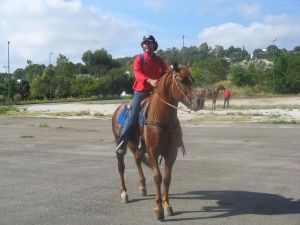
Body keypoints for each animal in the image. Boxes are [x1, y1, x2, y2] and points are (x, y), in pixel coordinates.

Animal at [111, 62, 205, 220]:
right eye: (182, 80)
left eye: (193, 79)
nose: (199, 101)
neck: (162, 119)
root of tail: (119, 108)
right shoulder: (152, 152)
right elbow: (157, 177)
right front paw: (158, 209)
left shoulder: (171, 153)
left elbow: (167, 178)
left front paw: (167, 205)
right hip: (121, 144)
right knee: (121, 167)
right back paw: (124, 193)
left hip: (138, 146)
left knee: (137, 159)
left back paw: (142, 187)